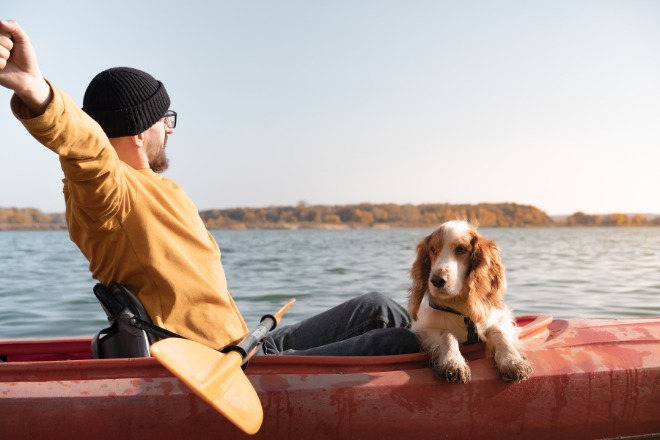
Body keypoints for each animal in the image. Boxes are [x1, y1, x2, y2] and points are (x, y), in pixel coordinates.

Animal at [408, 222, 532, 384]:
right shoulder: (423, 328)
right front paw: (453, 362)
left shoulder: (501, 318)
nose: (436, 280)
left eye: (460, 249)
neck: (461, 310)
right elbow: (446, 334)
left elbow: (499, 333)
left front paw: (512, 360)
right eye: (433, 249)